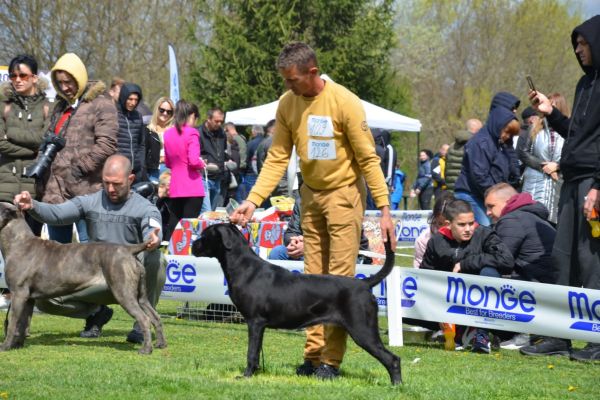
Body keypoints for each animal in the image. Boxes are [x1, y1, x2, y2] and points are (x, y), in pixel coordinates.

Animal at [190, 225, 400, 384]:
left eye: (204, 235)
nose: (192, 245)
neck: (243, 267)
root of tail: (364, 284)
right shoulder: (260, 326)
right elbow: (256, 352)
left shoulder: (255, 322)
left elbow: (251, 353)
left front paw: (246, 376)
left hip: (362, 330)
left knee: (393, 359)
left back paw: (395, 385)